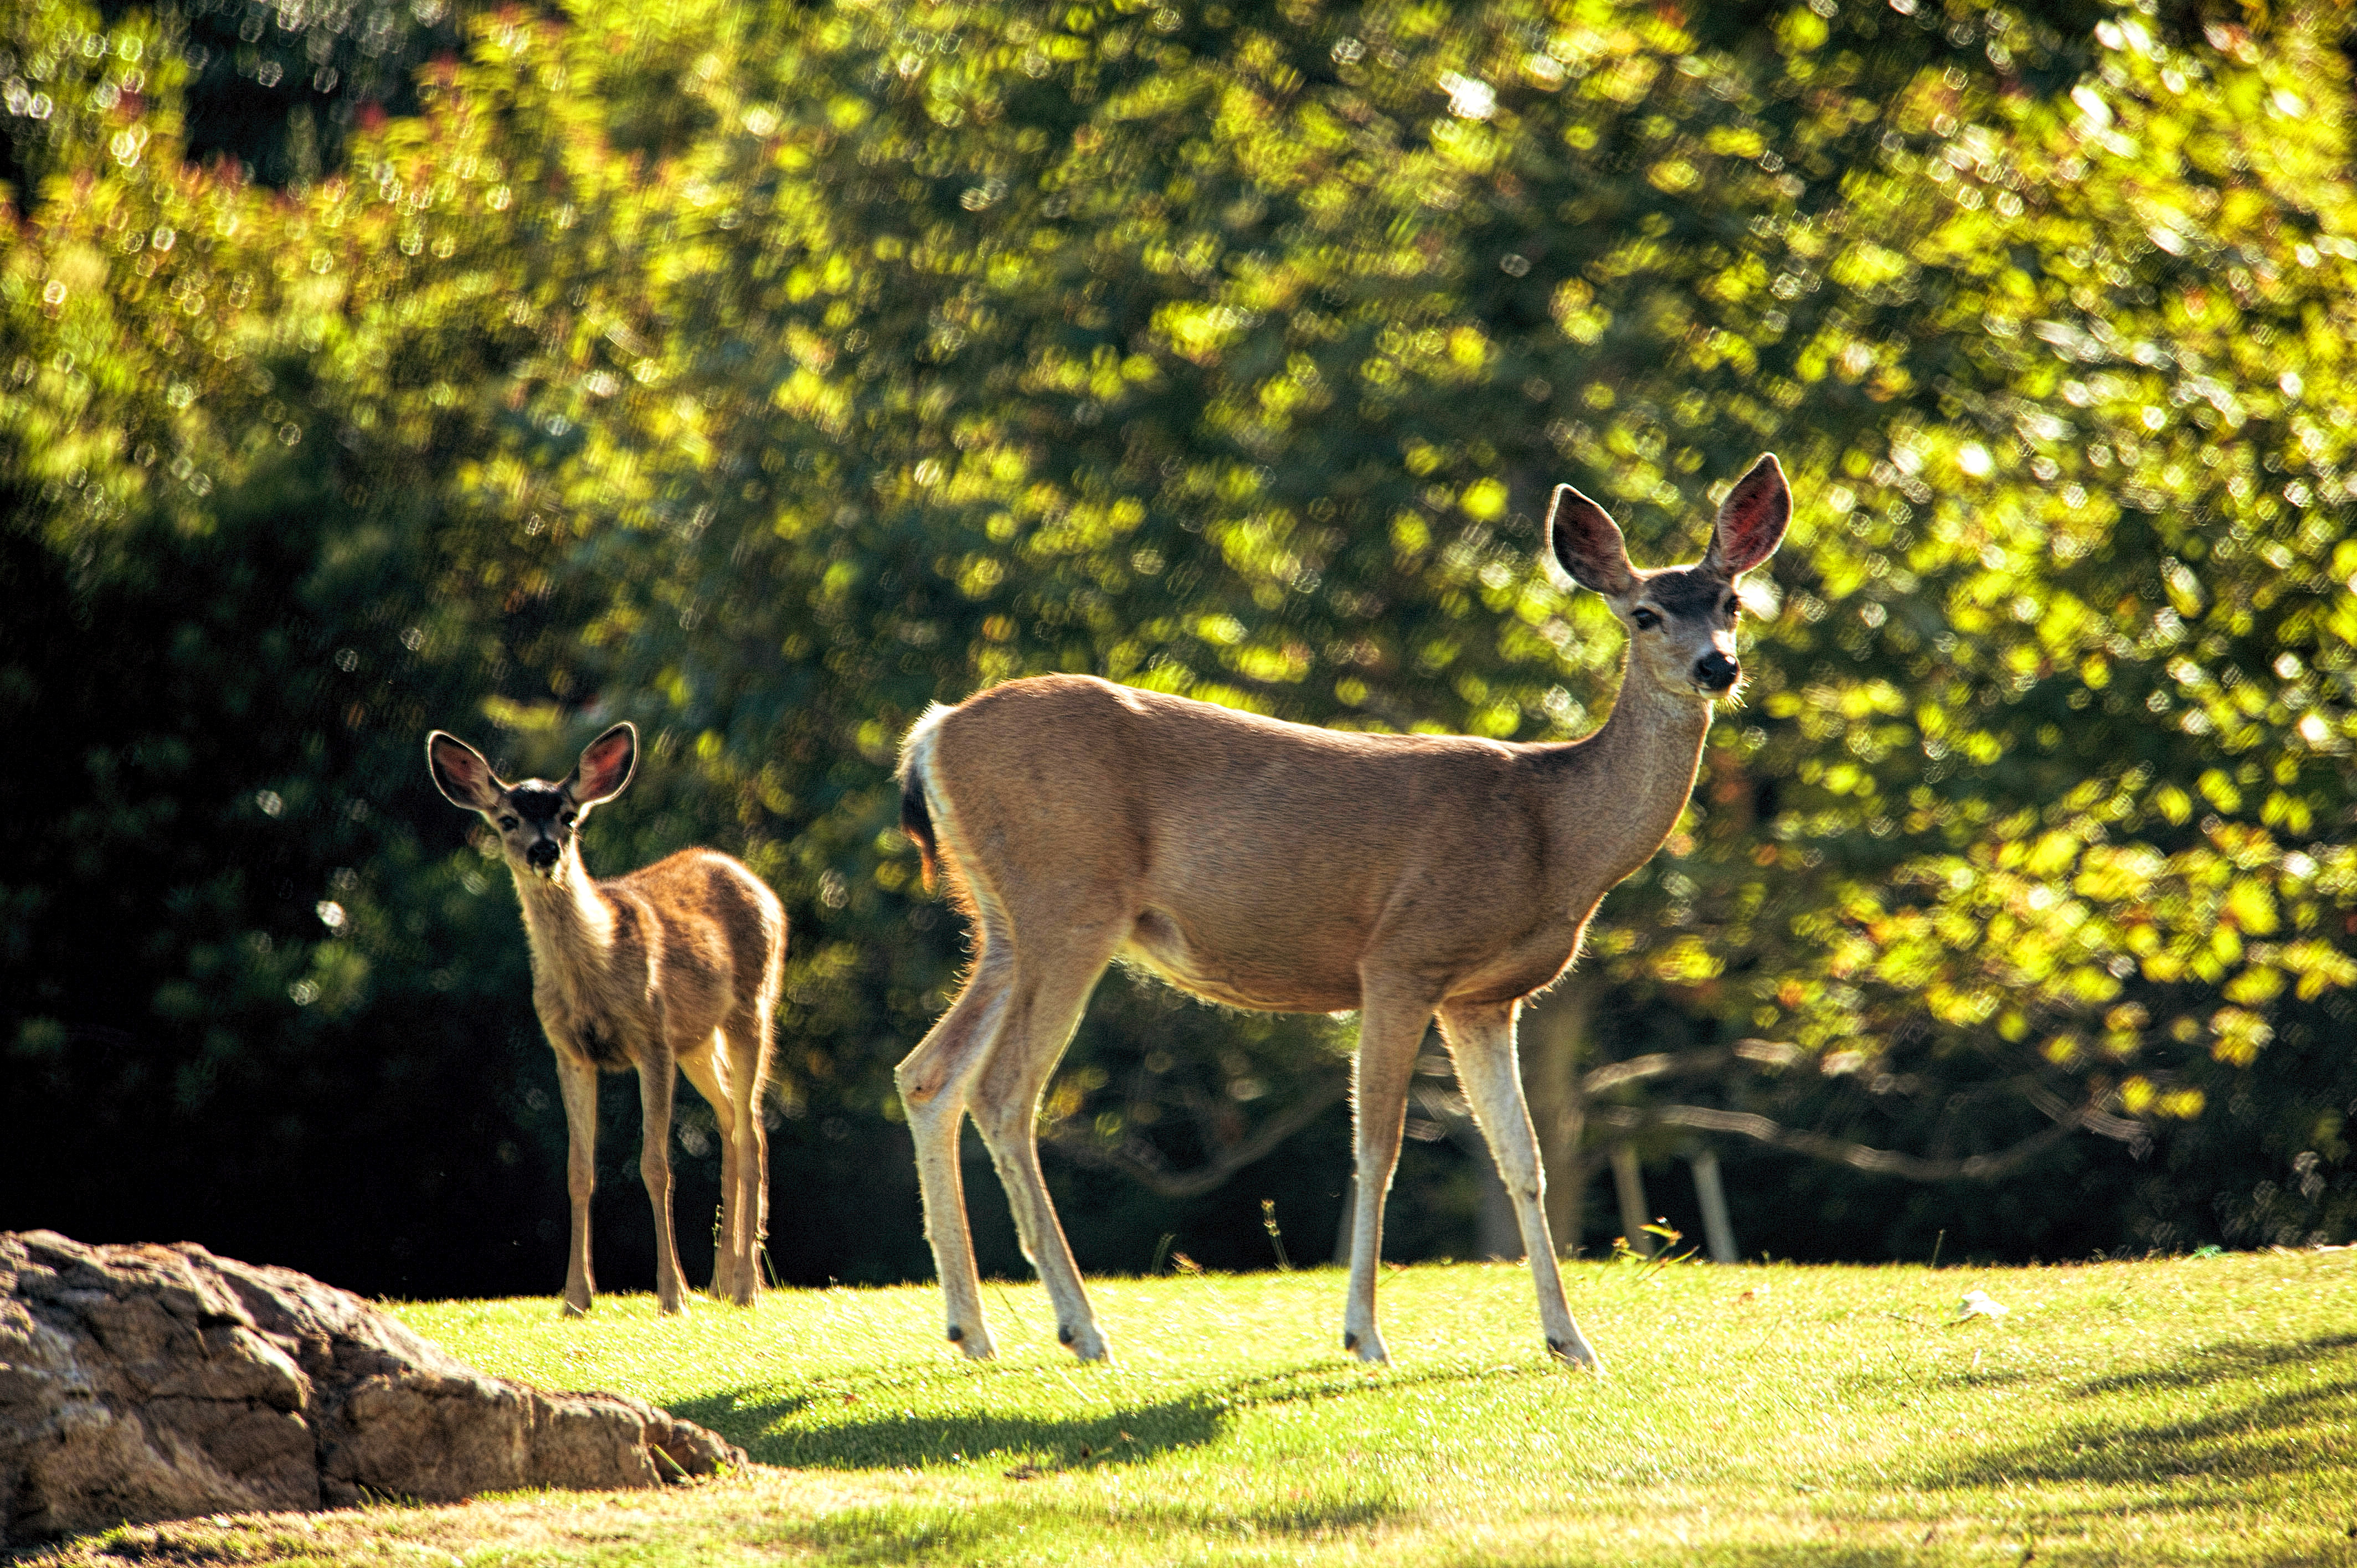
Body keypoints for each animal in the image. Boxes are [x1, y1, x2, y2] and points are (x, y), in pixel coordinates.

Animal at [429, 721, 787, 1311]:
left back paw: (744, 1288)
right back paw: (723, 1281)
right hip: (698, 1039)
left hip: (752, 1007)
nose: (544, 849)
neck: (593, 973)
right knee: (735, 1122)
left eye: (569, 816)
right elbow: (579, 1171)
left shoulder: (652, 1038)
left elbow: (655, 1165)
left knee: (751, 1131)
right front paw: (576, 1298)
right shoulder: (569, 1051)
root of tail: (753, 879)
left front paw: (672, 1296)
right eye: (507, 820)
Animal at [891, 452, 1791, 1368]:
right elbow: (1378, 1147)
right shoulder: (1403, 956)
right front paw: (1365, 1335)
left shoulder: (1484, 997)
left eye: (1732, 602)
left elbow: (1522, 1159)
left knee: (929, 1072)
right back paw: (1083, 1329)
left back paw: (973, 1330)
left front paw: (1570, 1342)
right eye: (1645, 614)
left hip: (1002, 921)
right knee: (1003, 1089)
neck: (1558, 833)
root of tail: (931, 734)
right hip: (1071, 901)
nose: (1717, 667)